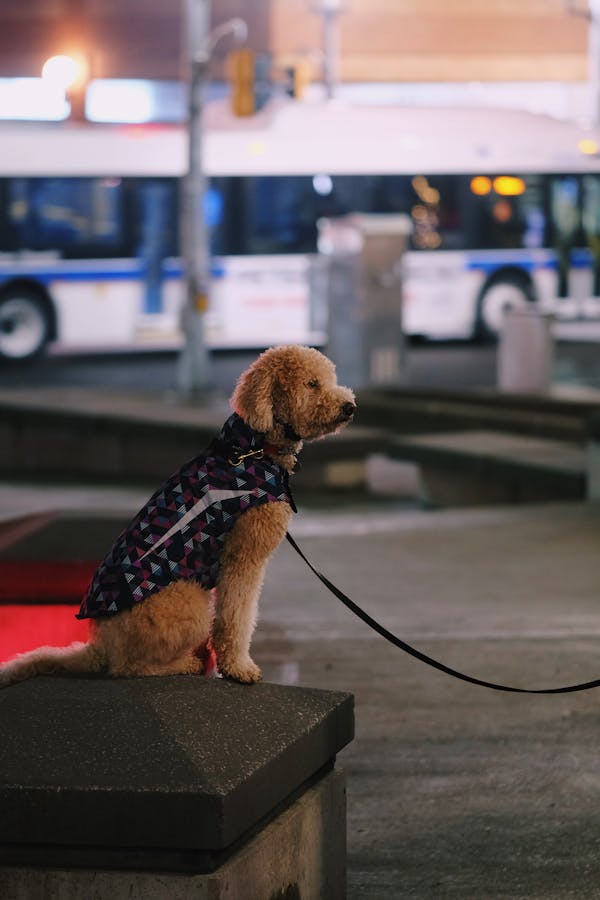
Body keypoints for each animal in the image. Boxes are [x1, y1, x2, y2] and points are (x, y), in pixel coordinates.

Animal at [0, 348, 354, 684]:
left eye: (330, 378)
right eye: (311, 384)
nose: (350, 406)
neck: (252, 449)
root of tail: (100, 646)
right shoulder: (243, 557)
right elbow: (236, 616)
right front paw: (238, 667)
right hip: (188, 601)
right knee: (128, 667)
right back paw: (184, 663)